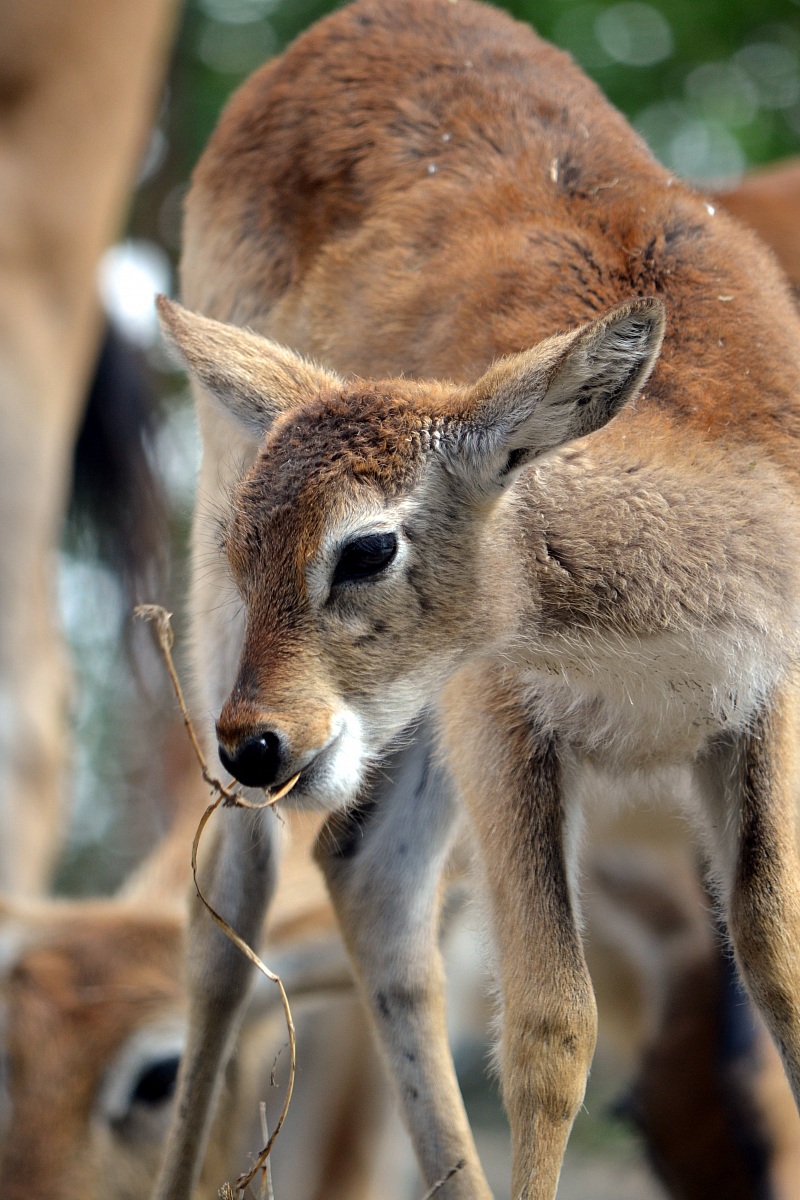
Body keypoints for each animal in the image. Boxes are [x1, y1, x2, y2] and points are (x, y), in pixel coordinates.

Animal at [153, 0, 800, 1197]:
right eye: (245, 548)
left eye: (366, 546)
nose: (258, 744)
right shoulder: (501, 719)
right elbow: (549, 1027)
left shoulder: (761, 713)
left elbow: (776, 964)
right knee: (229, 911)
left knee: (367, 885)